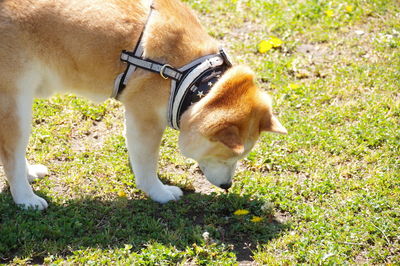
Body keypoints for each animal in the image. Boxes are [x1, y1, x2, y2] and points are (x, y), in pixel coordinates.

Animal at [0, 0, 288, 210]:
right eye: (229, 156)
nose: (228, 186)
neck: (191, 77)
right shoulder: (145, 118)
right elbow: (147, 164)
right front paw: (159, 192)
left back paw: (29, 173)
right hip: (16, 105)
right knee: (11, 157)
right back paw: (26, 199)